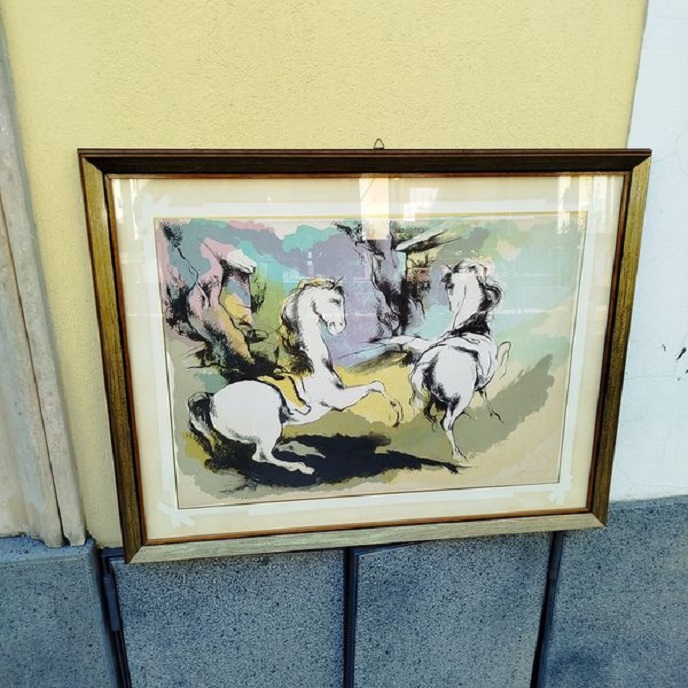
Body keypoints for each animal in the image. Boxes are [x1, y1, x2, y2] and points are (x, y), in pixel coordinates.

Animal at [187, 278, 401, 475]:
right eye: (335, 300)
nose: (339, 327)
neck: (312, 364)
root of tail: (210, 402)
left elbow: (377, 385)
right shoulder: (338, 399)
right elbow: (377, 384)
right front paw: (397, 412)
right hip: (270, 427)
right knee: (261, 456)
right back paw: (301, 467)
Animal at [387, 260, 510, 467]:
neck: (468, 325)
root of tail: (427, 363)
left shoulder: (478, 384)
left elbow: (484, 394)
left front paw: (491, 414)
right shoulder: (489, 372)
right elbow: (505, 350)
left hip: (431, 398)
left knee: (428, 413)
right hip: (461, 398)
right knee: (446, 422)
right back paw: (459, 455)